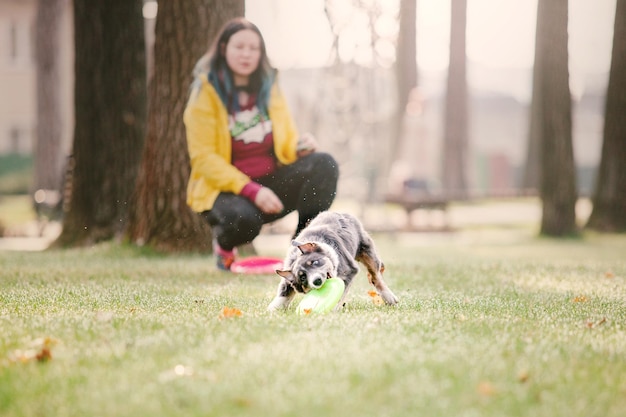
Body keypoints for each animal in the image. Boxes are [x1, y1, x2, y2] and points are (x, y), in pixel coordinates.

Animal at [266, 211, 398, 308]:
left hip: (367, 250)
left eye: (315, 262)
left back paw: (390, 298)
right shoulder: (288, 276)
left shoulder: (349, 271)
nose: (317, 280)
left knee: (376, 275)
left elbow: (339, 295)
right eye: (302, 277)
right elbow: (282, 294)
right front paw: (272, 310)